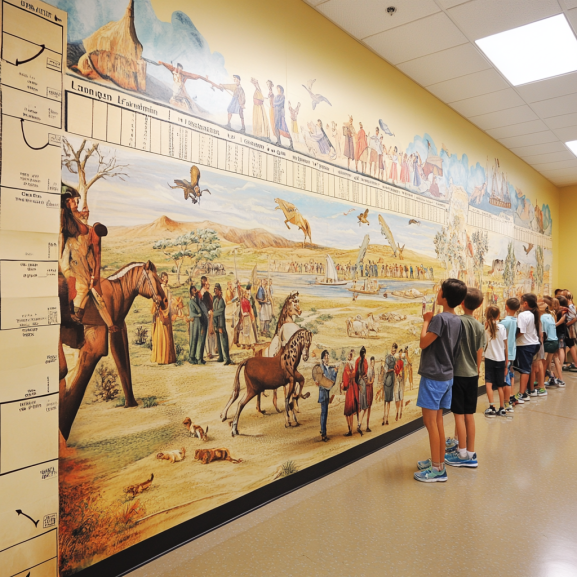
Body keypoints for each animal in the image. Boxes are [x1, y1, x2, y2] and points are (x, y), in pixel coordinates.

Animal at [58, 260, 165, 440]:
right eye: (155, 279)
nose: (164, 301)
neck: (117, 293)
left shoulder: (118, 329)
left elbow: (123, 364)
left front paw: (131, 403)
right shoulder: (98, 341)